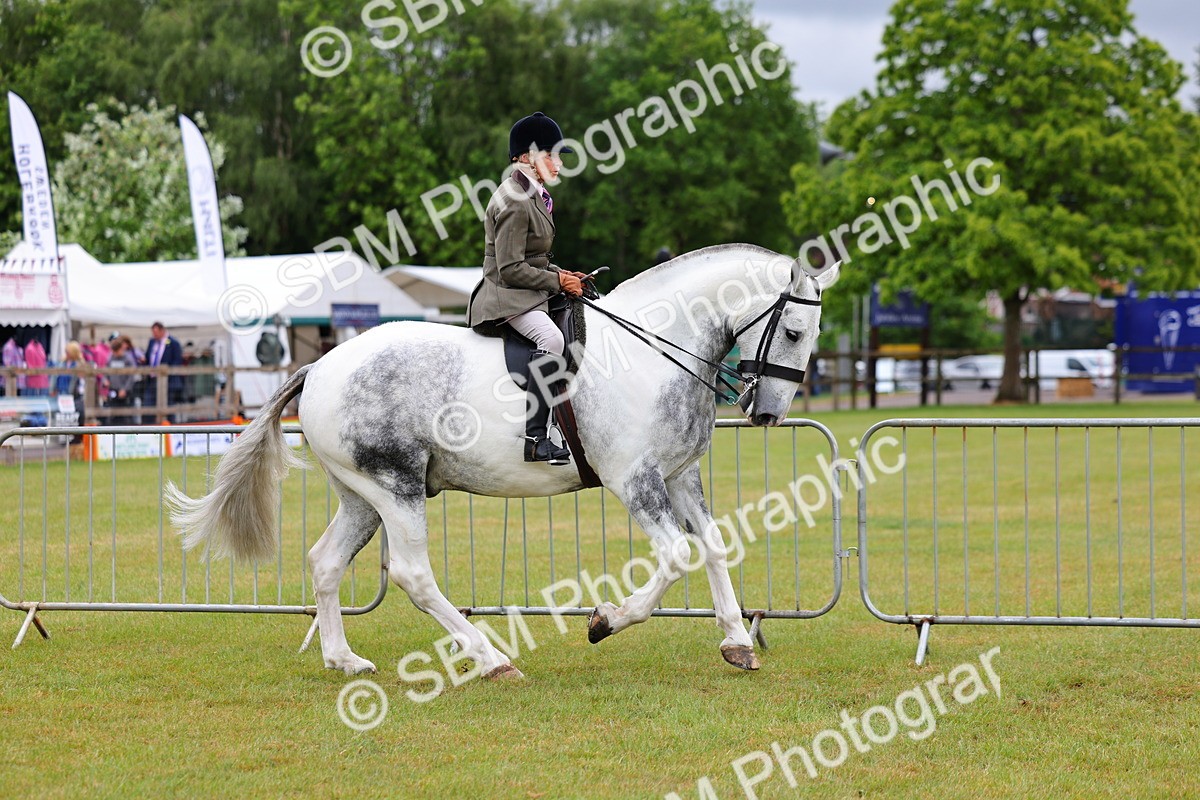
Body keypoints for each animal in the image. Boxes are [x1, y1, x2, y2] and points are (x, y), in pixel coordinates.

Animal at [167, 243, 840, 678]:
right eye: (794, 333)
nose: (768, 414)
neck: (653, 348)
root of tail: (319, 366)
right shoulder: (635, 480)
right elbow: (677, 557)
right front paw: (605, 620)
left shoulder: (680, 475)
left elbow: (716, 546)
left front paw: (737, 642)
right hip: (395, 487)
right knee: (412, 574)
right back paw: (491, 659)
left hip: (362, 495)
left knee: (326, 561)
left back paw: (343, 659)